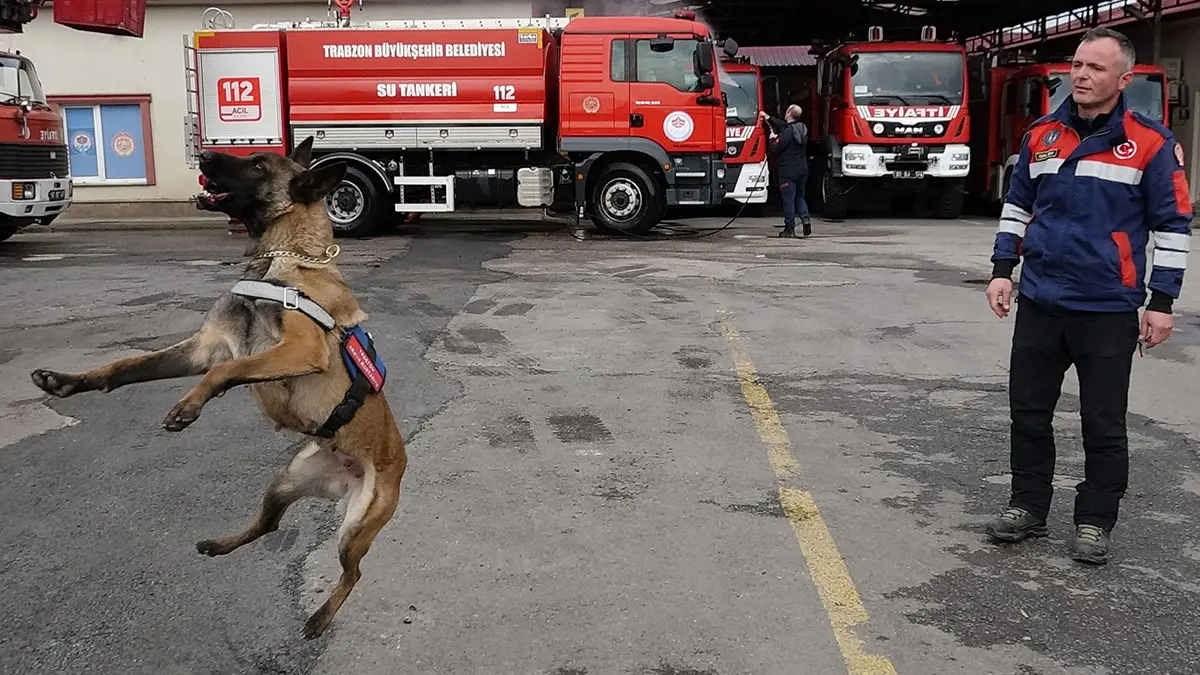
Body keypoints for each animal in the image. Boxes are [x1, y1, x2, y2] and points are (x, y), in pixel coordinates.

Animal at [28, 136, 410, 634]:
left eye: (258, 165)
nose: (203, 153)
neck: (283, 259)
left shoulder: (300, 350)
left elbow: (222, 372)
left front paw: (187, 407)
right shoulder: (204, 347)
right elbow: (128, 364)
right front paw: (69, 380)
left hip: (356, 527)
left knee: (353, 572)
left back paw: (320, 618)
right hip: (285, 482)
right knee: (268, 525)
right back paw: (220, 545)